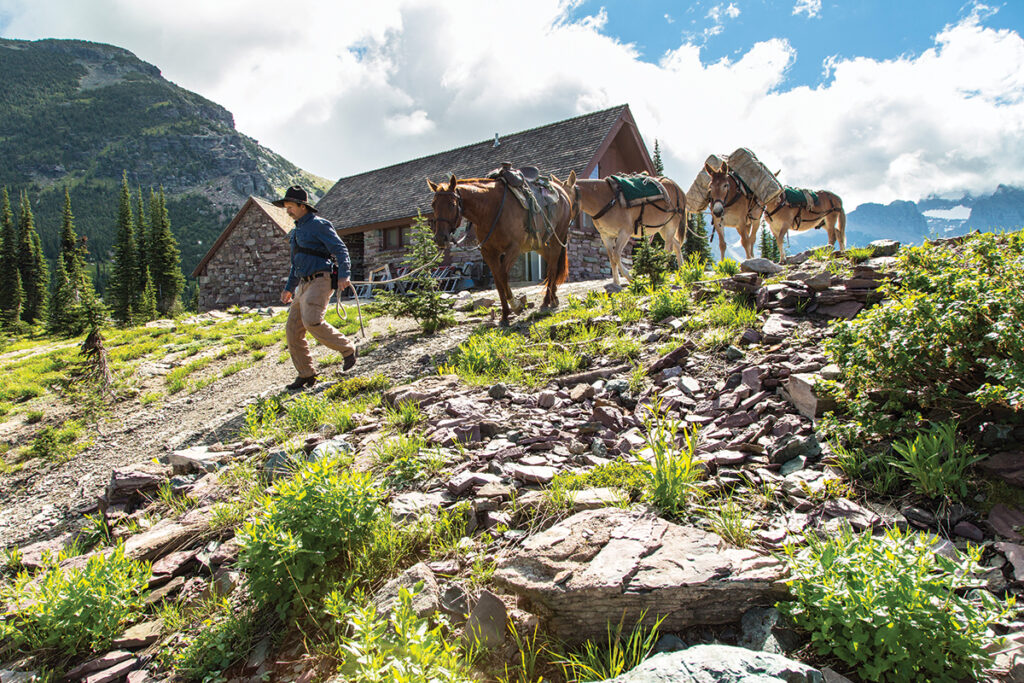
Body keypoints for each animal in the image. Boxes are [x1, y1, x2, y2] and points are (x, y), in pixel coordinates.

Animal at [425, 171, 577, 325]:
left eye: (452, 204)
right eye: (433, 205)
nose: (440, 238)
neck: (492, 210)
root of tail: (562, 193)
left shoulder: (514, 249)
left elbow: (503, 275)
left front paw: (516, 306)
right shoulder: (489, 253)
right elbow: (498, 280)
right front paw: (504, 315)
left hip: (557, 238)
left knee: (552, 266)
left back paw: (547, 301)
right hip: (540, 244)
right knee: (552, 263)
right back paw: (554, 298)